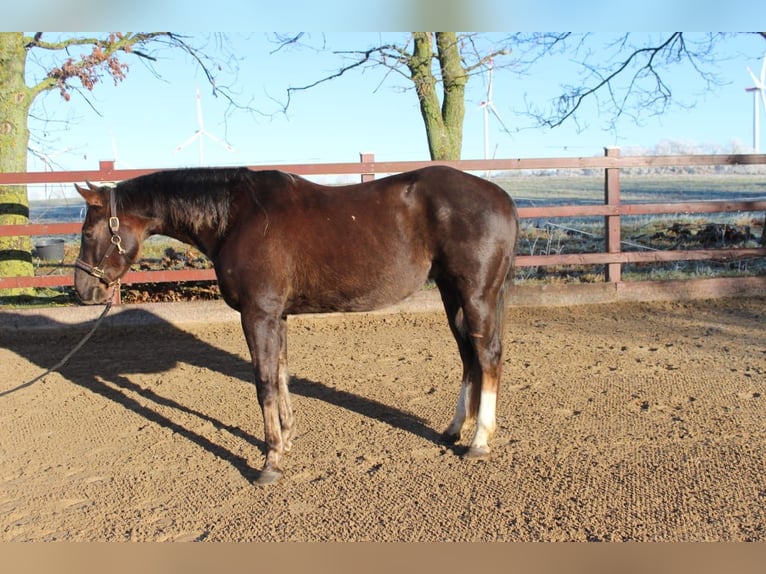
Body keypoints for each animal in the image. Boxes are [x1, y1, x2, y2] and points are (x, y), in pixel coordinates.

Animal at [73, 165, 520, 486]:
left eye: (88, 231)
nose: (83, 289)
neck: (237, 217)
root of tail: (502, 197)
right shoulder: (278, 316)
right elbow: (282, 374)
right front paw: (286, 439)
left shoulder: (258, 314)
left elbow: (264, 383)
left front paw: (270, 461)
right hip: (451, 293)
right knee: (468, 356)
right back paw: (454, 429)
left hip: (475, 294)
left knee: (487, 355)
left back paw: (480, 440)